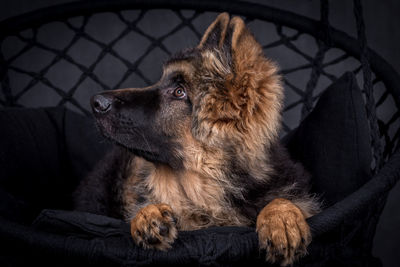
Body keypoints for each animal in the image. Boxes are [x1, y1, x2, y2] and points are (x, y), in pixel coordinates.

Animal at [73, 12, 320, 266]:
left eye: (179, 92)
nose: (95, 102)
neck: (204, 191)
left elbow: (282, 199)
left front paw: (281, 217)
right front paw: (147, 214)